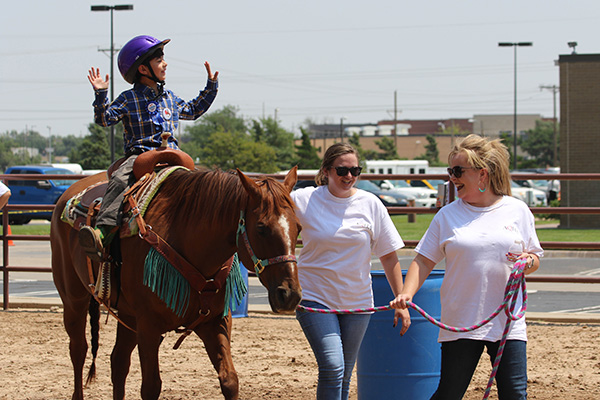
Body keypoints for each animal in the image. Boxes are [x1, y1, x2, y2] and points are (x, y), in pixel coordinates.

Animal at [51, 166, 302, 400]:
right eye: (261, 228)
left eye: (298, 227)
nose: (289, 295)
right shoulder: (149, 327)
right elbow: (151, 387)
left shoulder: (215, 322)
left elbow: (230, 380)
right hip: (74, 300)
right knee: (79, 350)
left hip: (127, 314)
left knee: (118, 362)